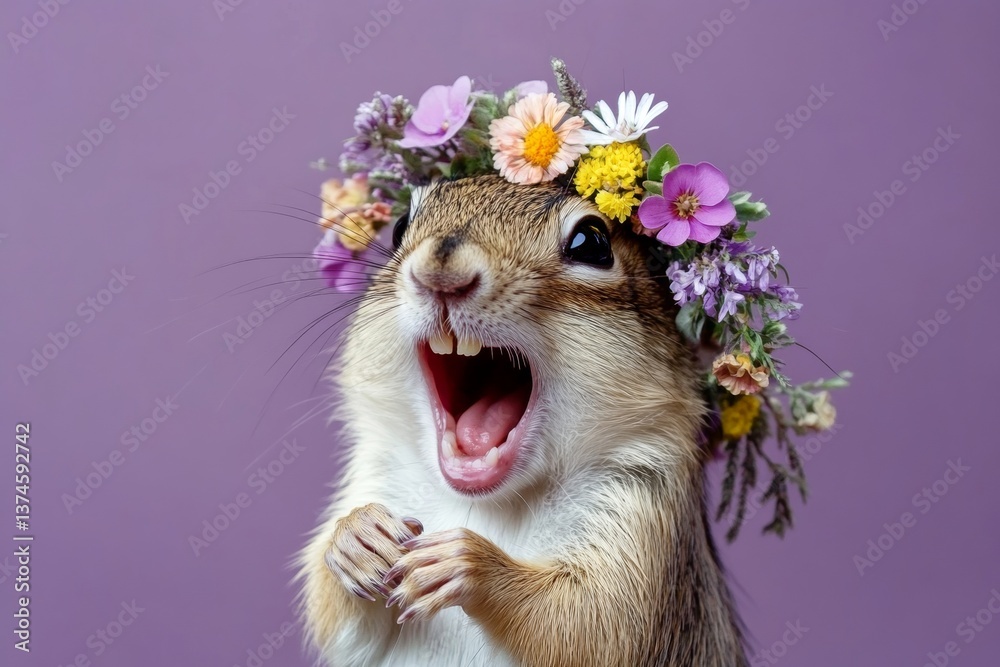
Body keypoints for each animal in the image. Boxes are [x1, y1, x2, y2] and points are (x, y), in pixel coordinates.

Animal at [297, 174, 748, 666]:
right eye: (399, 228)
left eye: (592, 243)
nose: (440, 274)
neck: (489, 504)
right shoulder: (378, 475)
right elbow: (338, 620)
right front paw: (355, 538)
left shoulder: (643, 527)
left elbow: (589, 622)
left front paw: (469, 563)